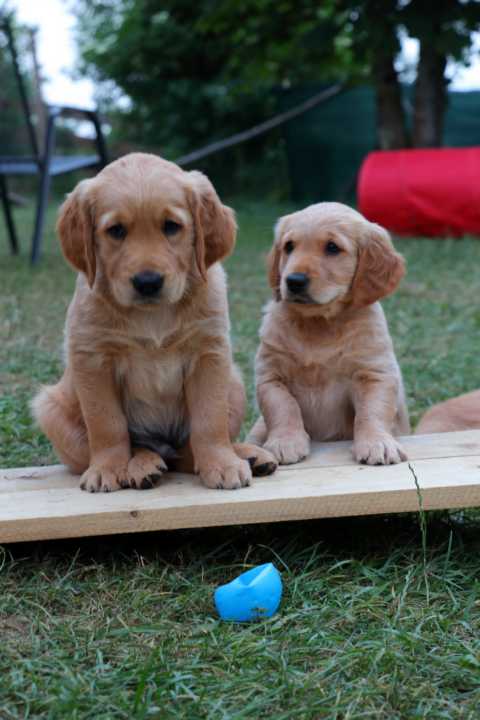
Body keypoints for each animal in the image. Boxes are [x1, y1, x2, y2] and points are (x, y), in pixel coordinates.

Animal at [31, 151, 276, 490]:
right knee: (144, 447)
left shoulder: (209, 353)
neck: (152, 315)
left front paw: (222, 463)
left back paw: (247, 455)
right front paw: (107, 468)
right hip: (51, 409)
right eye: (116, 230)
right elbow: (106, 424)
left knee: (185, 454)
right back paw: (143, 465)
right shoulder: (92, 359)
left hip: (234, 383)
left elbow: (209, 421)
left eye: (171, 226)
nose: (147, 282)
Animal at [249, 200, 410, 464]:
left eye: (332, 248)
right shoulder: (270, 375)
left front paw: (377, 443)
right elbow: (283, 406)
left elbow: (371, 411)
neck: (319, 324)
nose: (294, 280)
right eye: (289, 246)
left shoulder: (373, 373)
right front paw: (285, 442)